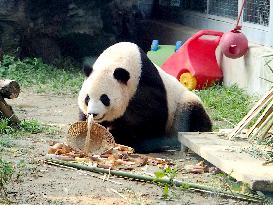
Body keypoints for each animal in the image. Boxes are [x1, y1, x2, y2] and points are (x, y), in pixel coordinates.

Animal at [77, 42, 211, 153]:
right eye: (87, 98)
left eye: (105, 99)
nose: (93, 113)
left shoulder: (144, 85)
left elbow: (150, 118)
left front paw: (129, 140)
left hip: (183, 103)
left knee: (193, 117)